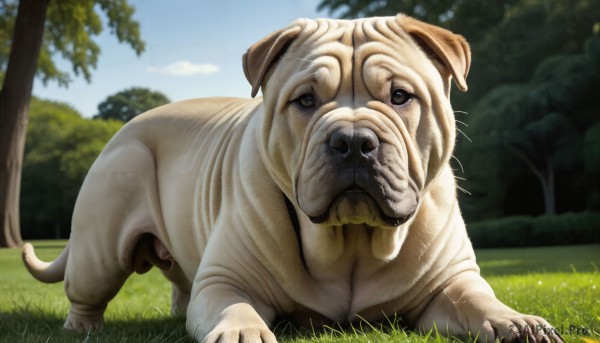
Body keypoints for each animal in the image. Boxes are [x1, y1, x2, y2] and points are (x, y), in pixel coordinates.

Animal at [23, 14, 564, 343]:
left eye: (400, 96)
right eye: (305, 100)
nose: (353, 140)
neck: (351, 243)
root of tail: (128, 125)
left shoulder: (450, 283)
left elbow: (479, 301)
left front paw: (517, 322)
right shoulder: (225, 280)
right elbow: (234, 308)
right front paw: (242, 331)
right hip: (100, 244)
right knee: (87, 293)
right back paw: (82, 328)